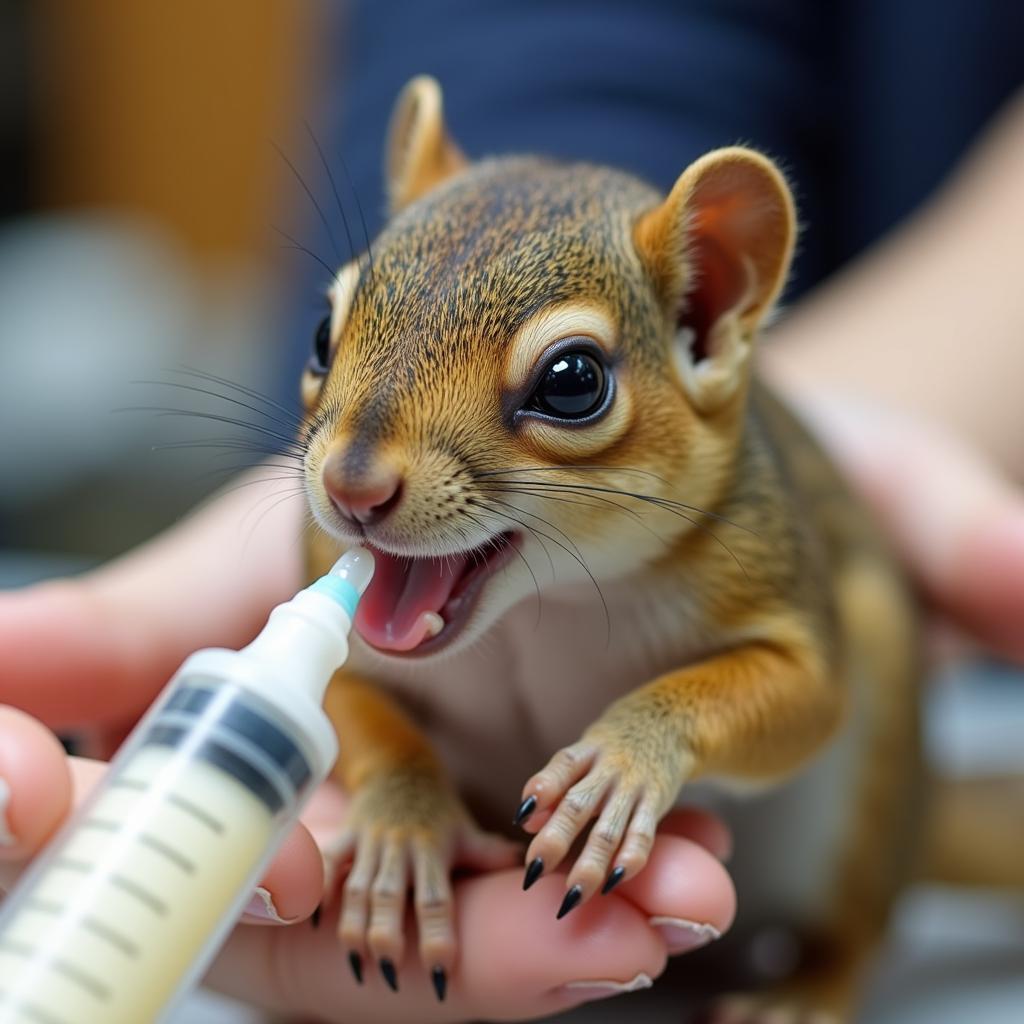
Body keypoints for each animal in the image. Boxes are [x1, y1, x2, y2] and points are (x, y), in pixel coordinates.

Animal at [294, 75, 921, 1019]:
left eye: (573, 381)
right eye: (321, 336)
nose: (350, 486)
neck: (539, 609)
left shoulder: (776, 584)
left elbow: (802, 695)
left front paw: (621, 764)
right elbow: (354, 707)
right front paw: (403, 829)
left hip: (875, 789)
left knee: (857, 927)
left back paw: (807, 990)